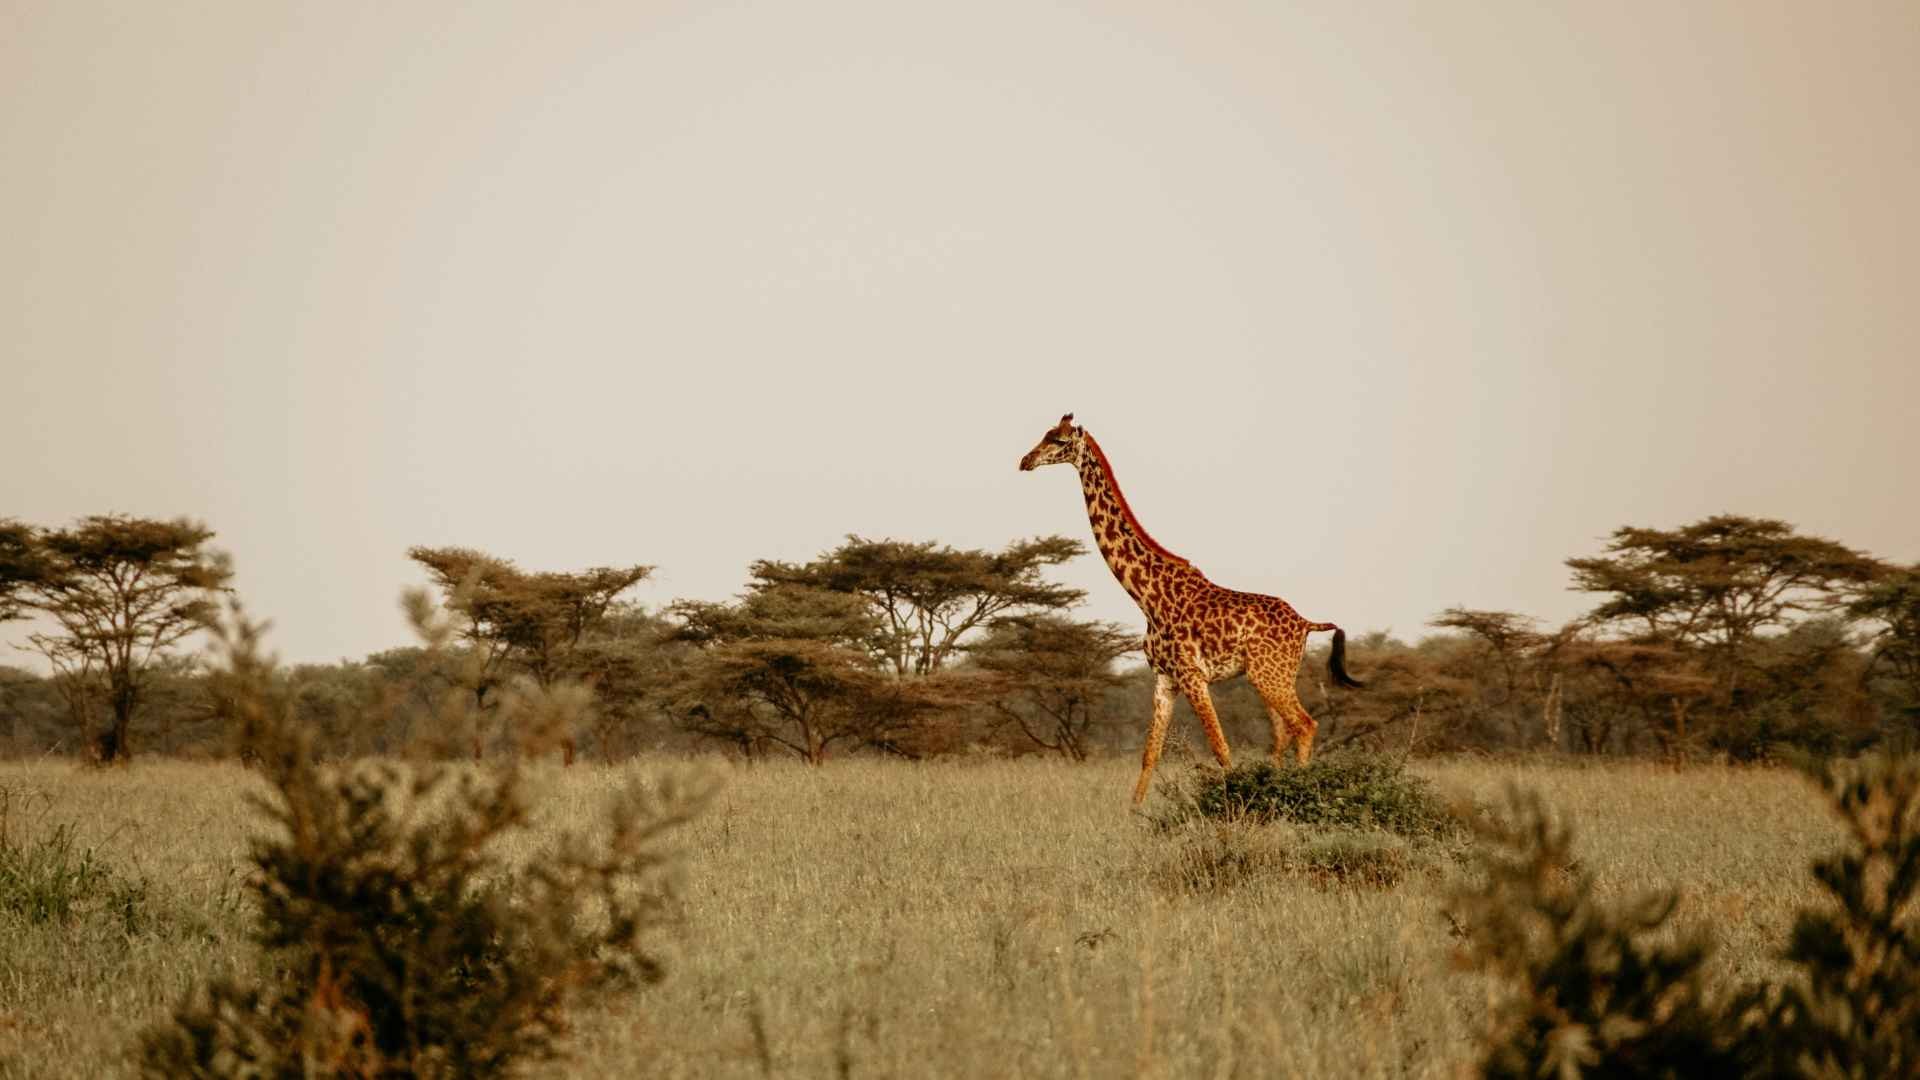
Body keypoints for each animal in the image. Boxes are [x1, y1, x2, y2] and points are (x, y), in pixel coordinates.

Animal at [1018, 414, 1365, 805]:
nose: (1026, 460)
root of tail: (1306, 623)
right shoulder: (1164, 679)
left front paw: (1233, 804)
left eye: (1059, 441)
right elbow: (1150, 753)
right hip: (1272, 675)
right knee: (1283, 734)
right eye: (1045, 434)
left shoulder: (1193, 676)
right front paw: (1133, 812)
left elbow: (1221, 748)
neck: (1147, 597)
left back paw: (1302, 793)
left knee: (1304, 725)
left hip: (1269, 675)